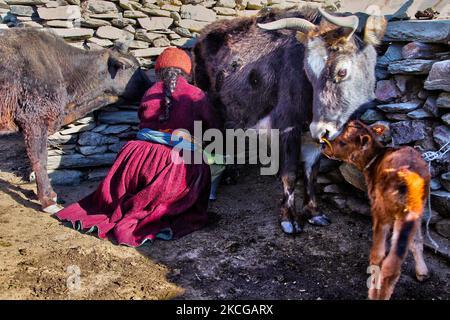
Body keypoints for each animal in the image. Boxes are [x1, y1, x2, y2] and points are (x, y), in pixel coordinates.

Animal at [192, 6, 386, 234]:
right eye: (308, 71)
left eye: (342, 71)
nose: (322, 129)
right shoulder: (288, 127)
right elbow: (291, 173)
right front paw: (289, 219)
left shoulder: (311, 135)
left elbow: (311, 173)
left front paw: (314, 213)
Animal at [322, 120, 430, 300]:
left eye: (343, 142)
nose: (324, 146)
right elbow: (417, 240)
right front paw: (422, 273)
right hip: (413, 212)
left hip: (382, 211)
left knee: (381, 258)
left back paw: (374, 293)